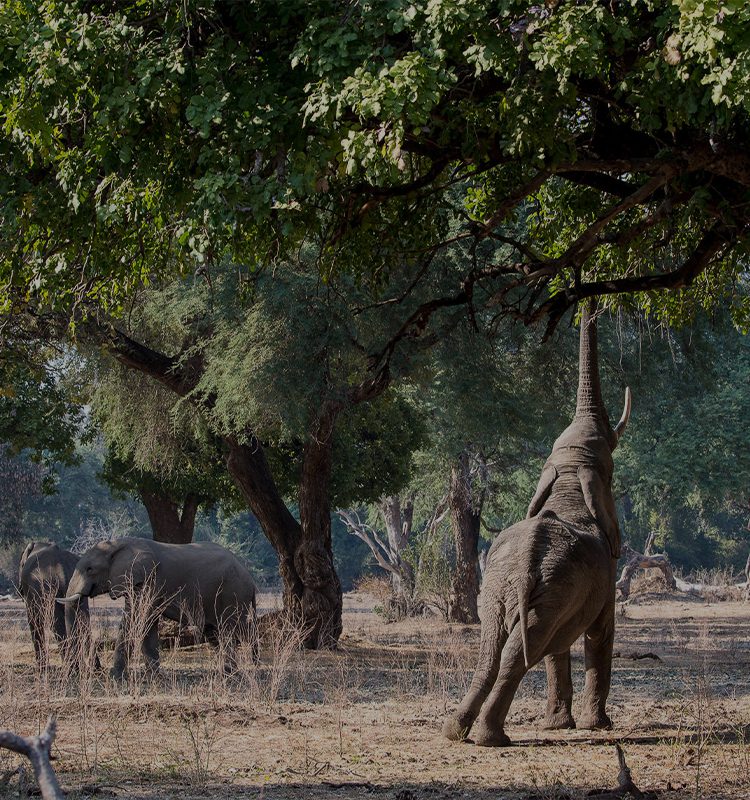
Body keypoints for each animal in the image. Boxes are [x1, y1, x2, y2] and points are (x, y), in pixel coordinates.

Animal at [446, 304, 636, 748]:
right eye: (611, 469)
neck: (567, 478)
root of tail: (523, 564)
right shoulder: (605, 576)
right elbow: (600, 634)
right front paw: (596, 726)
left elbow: (556, 648)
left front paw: (557, 726)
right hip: (550, 588)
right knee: (520, 647)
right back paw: (491, 737)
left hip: (507, 587)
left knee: (493, 646)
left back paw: (455, 731)